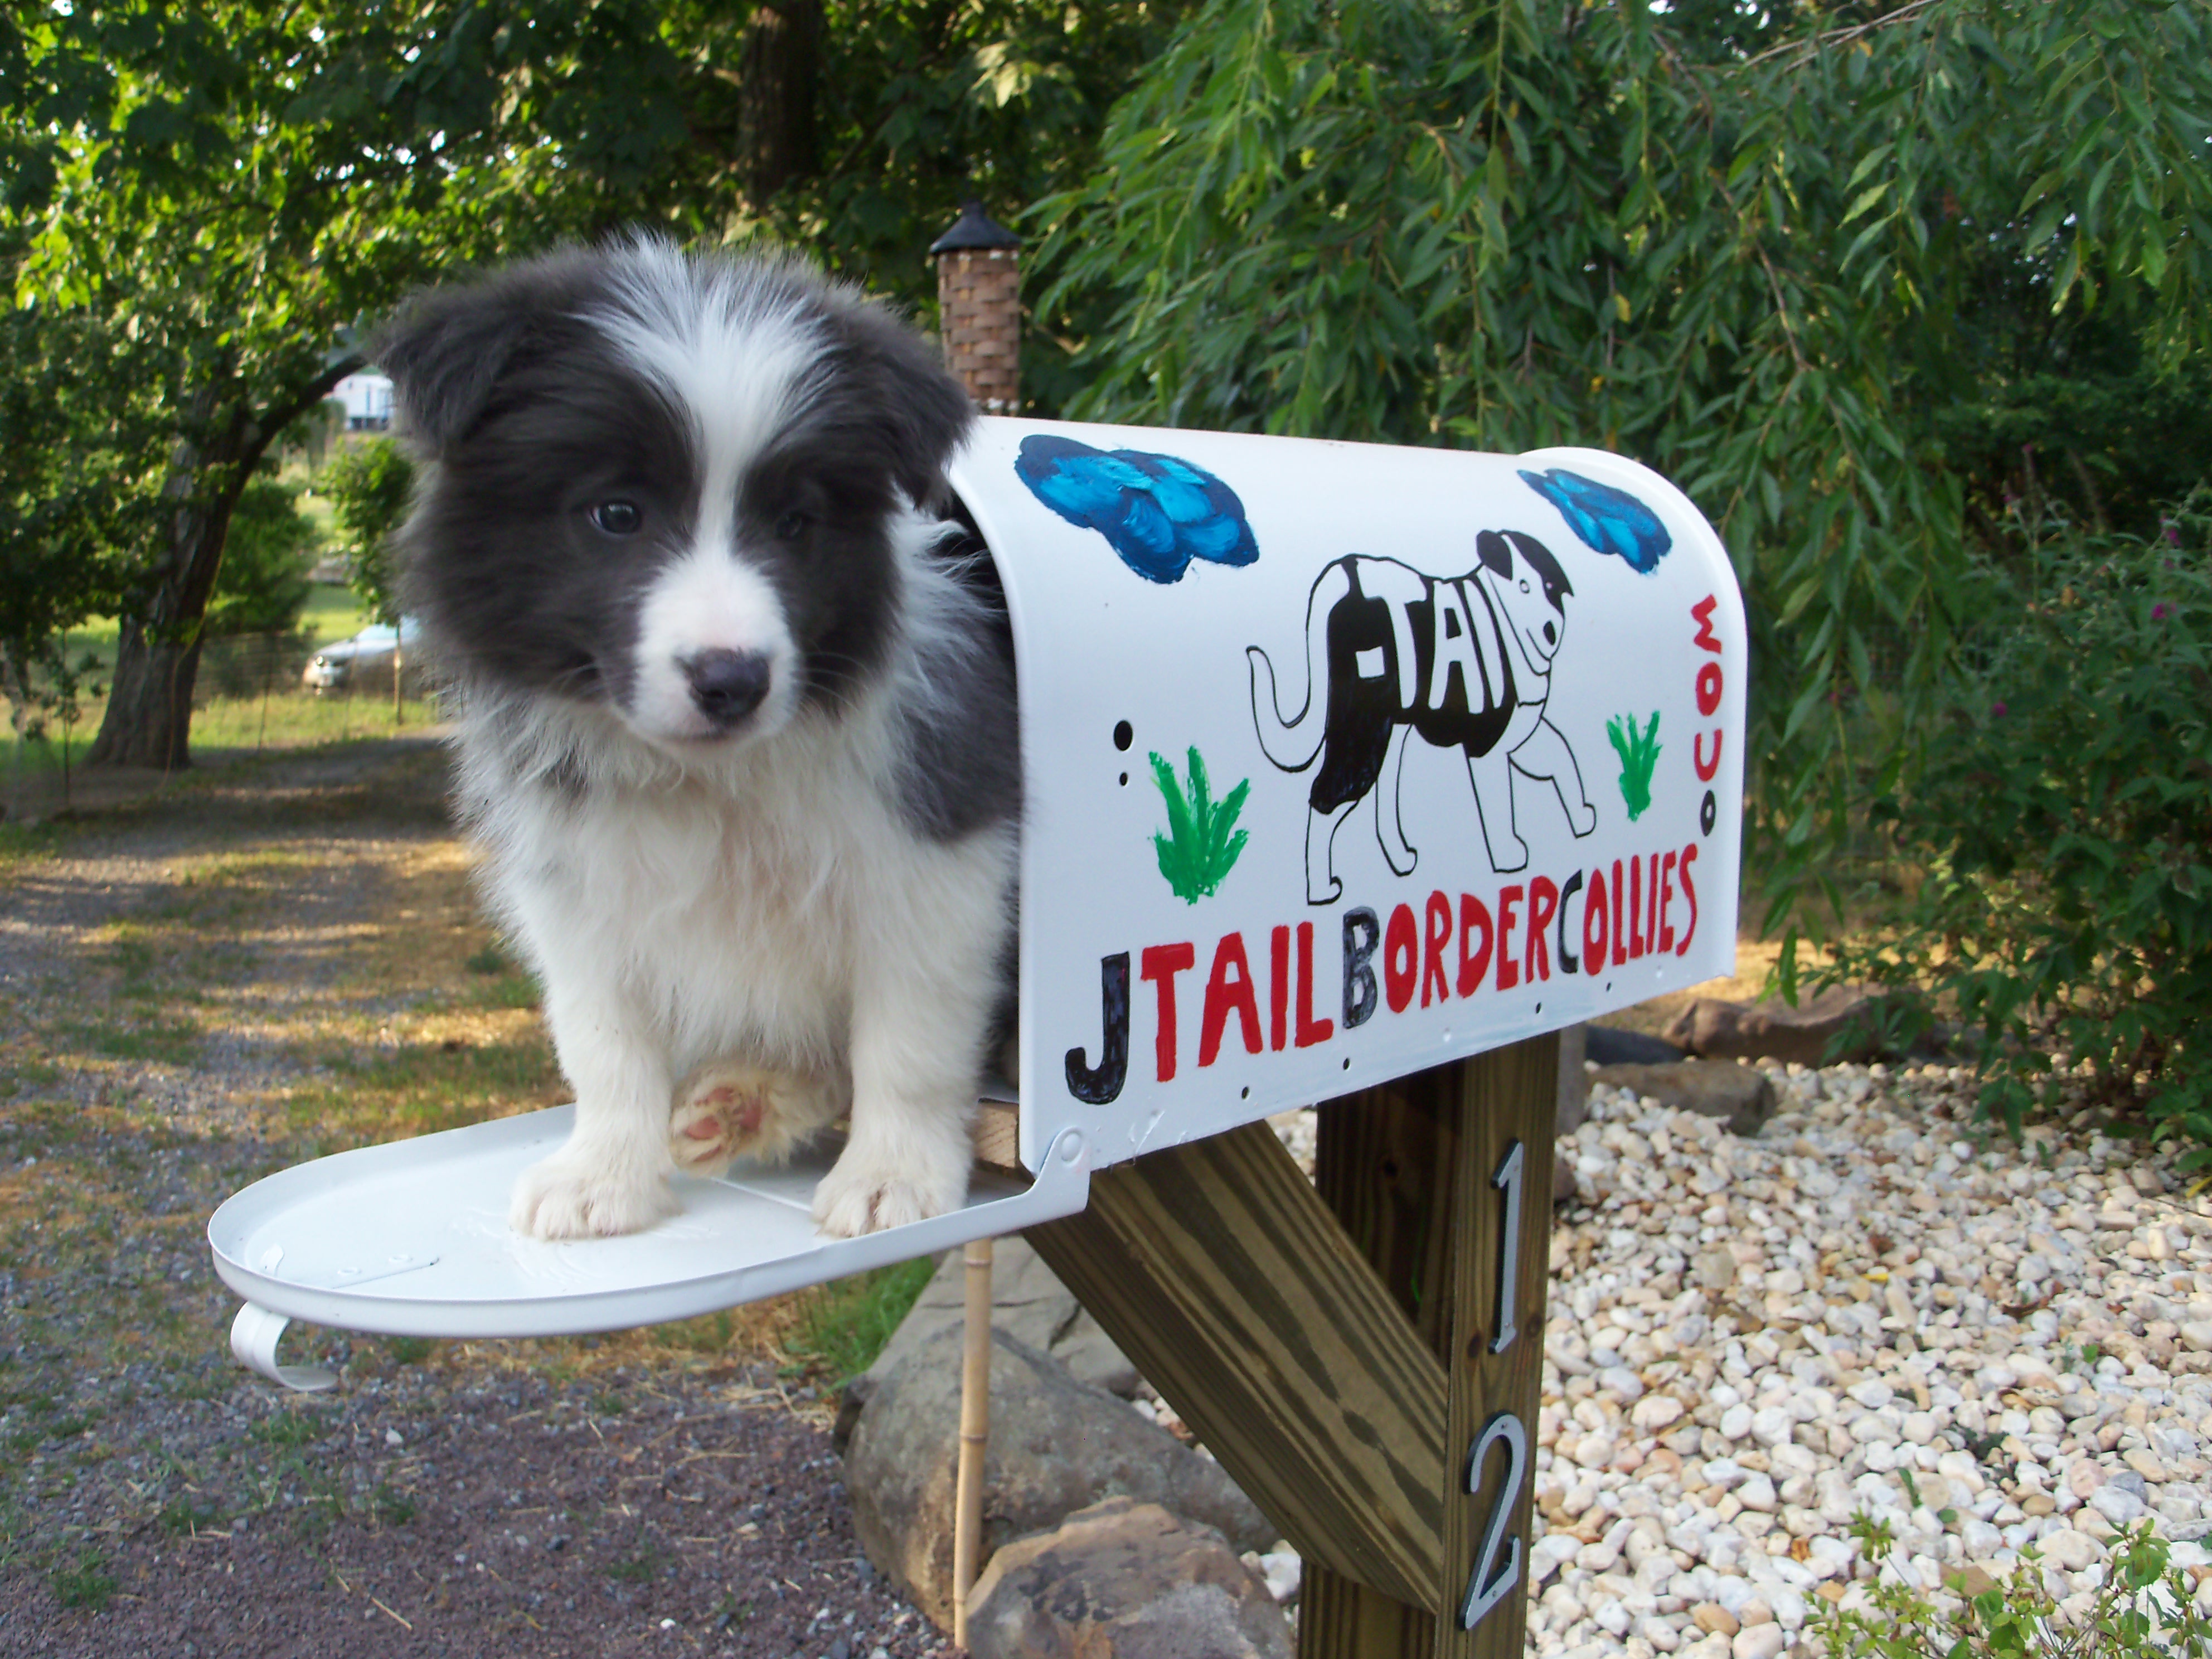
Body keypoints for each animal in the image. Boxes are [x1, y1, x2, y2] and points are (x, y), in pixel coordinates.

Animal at [380, 240, 1017, 1239]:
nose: (732, 681)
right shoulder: (579, 883)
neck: (712, 778)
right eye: (616, 513)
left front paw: (893, 1177)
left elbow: (908, 1033)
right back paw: (743, 1101)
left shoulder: (942, 858)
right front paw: (600, 1176)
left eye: (795, 523)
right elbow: (602, 1036)